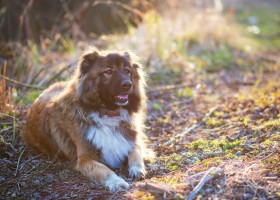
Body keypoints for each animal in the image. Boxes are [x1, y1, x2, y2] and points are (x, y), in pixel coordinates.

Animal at [21, 47, 153, 191]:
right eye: (108, 71)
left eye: (127, 71)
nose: (128, 85)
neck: (107, 113)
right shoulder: (85, 160)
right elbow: (105, 170)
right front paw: (117, 182)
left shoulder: (130, 141)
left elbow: (135, 153)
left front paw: (137, 168)